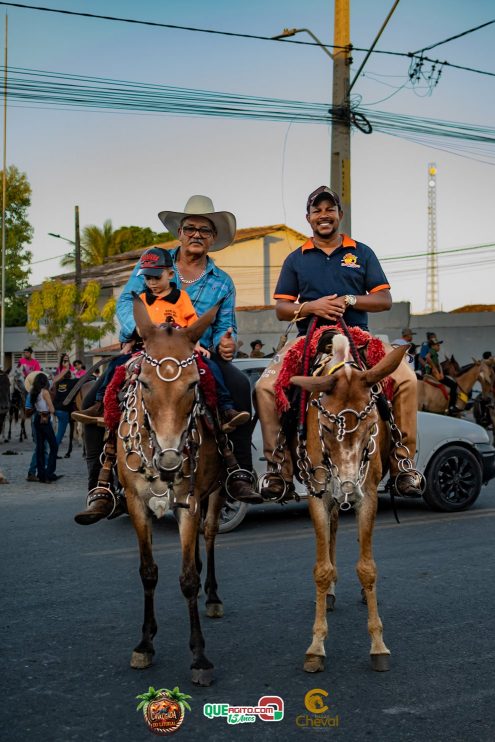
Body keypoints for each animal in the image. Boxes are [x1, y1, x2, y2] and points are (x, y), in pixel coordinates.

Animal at [115, 300, 226, 688]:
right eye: (144, 384)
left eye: (193, 384)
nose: (169, 459)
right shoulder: (136, 504)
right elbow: (148, 572)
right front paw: (145, 643)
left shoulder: (189, 503)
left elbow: (188, 579)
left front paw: (200, 657)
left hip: (215, 494)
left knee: (208, 536)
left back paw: (213, 595)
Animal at [290, 338, 410, 676]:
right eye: (327, 428)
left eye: (371, 426)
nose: (347, 486)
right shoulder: (318, 496)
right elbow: (321, 569)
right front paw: (316, 646)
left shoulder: (367, 497)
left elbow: (367, 568)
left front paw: (378, 645)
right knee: (331, 530)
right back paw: (329, 594)